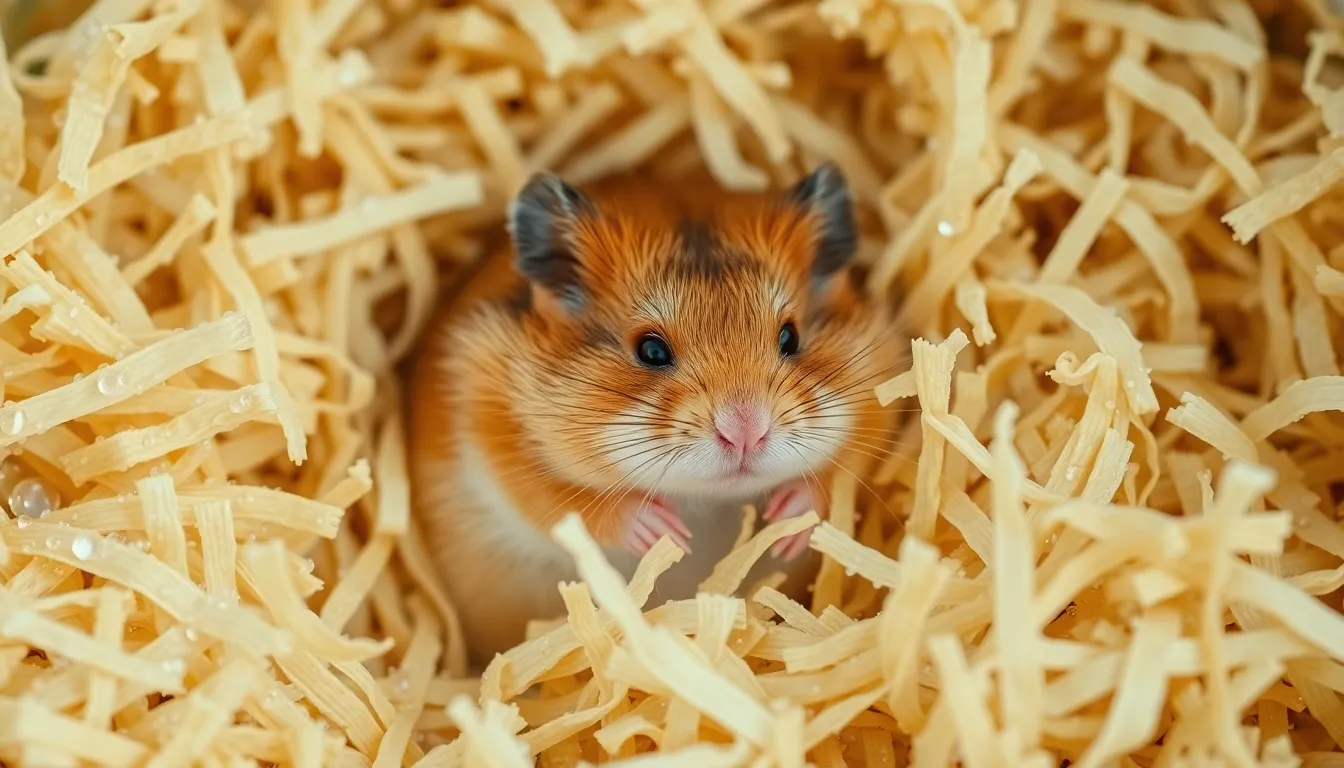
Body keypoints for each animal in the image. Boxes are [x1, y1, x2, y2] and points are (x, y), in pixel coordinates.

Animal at [408, 163, 906, 666]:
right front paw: (668, 534)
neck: (706, 501)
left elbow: (839, 476)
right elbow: (565, 503)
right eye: (650, 350)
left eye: (791, 337)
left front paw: (786, 518)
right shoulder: (493, 427)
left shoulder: (880, 386)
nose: (746, 432)